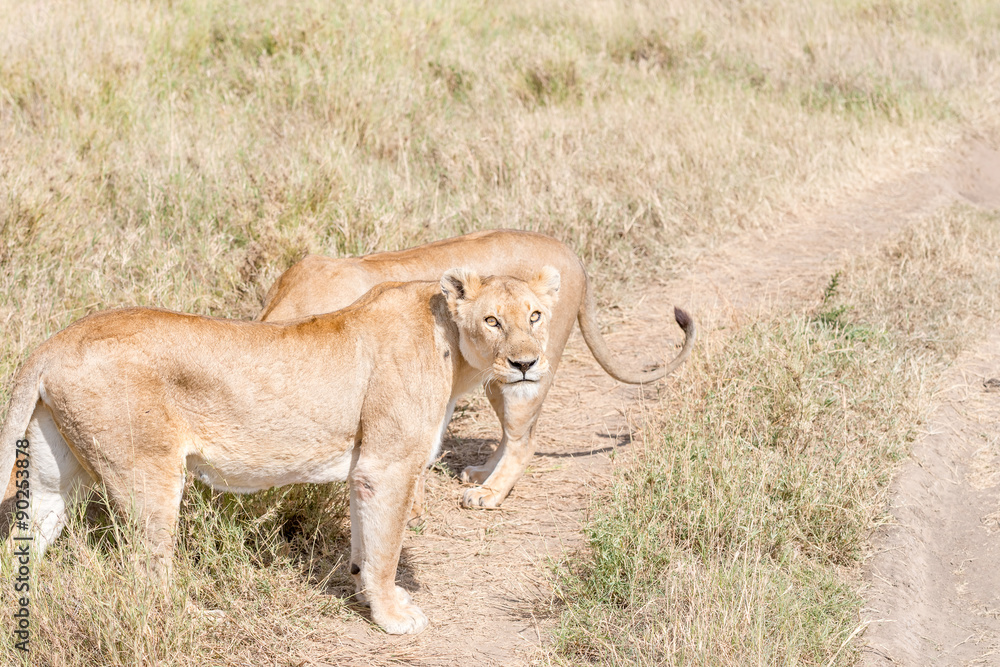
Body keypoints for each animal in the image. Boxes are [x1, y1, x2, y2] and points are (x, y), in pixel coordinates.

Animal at [0, 268, 560, 634]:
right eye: (492, 321)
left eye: (536, 315)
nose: (526, 364)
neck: (453, 350)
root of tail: (54, 342)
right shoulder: (388, 466)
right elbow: (386, 549)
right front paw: (393, 617)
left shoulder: (365, 470)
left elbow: (365, 544)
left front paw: (370, 596)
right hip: (149, 477)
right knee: (147, 577)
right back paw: (197, 618)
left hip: (53, 478)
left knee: (22, 542)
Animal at [259, 230, 695, 510]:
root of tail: (570, 253)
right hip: (501, 377)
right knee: (513, 434)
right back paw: (483, 474)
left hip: (525, 370)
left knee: (524, 441)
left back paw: (488, 494)